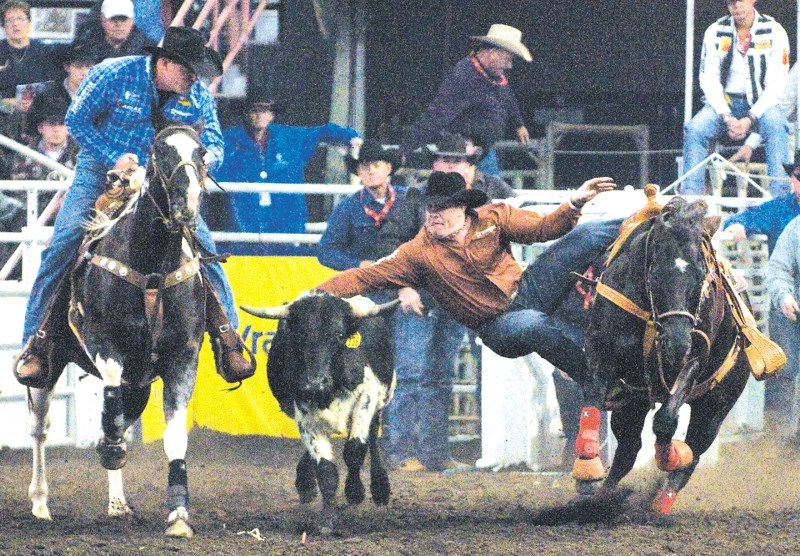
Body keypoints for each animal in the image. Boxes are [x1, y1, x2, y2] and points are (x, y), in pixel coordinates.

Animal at [27, 127, 209, 540]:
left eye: (202, 153)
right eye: (160, 152)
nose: (187, 205)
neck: (153, 264)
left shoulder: (183, 357)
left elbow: (174, 436)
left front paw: (178, 515)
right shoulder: (102, 340)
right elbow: (110, 400)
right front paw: (107, 447)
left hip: (139, 385)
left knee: (122, 420)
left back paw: (117, 503)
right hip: (47, 369)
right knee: (41, 429)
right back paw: (41, 503)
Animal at [572, 197, 752, 516]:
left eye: (701, 275)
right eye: (655, 273)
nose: (677, 341)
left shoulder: (696, 353)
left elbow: (666, 420)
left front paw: (669, 455)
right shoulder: (599, 346)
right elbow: (592, 397)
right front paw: (587, 467)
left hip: (717, 405)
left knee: (694, 450)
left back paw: (661, 502)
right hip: (633, 402)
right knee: (627, 450)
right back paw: (601, 500)